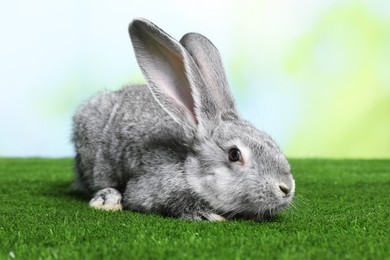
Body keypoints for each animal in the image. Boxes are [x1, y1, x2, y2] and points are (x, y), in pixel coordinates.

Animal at [71, 17, 294, 221]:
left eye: (272, 143)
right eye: (234, 154)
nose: (286, 188)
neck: (188, 169)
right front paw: (207, 215)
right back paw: (107, 199)